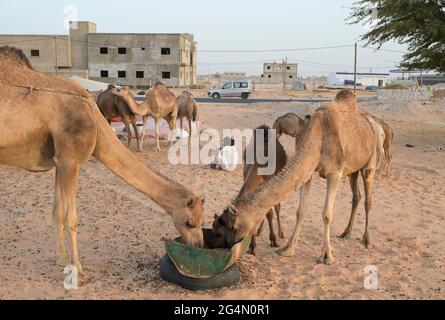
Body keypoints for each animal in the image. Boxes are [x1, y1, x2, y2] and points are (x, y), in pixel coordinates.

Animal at [0, 46, 205, 276]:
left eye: (201, 221)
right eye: (190, 222)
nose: (199, 244)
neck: (93, 116)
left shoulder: (60, 161)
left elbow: (58, 212)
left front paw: (62, 260)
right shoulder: (70, 161)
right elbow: (71, 217)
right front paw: (77, 268)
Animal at [212, 125, 288, 255]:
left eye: (221, 233)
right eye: (215, 231)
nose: (226, 245)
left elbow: (270, 213)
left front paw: (273, 240)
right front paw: (252, 247)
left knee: (277, 208)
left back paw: (280, 233)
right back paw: (260, 231)